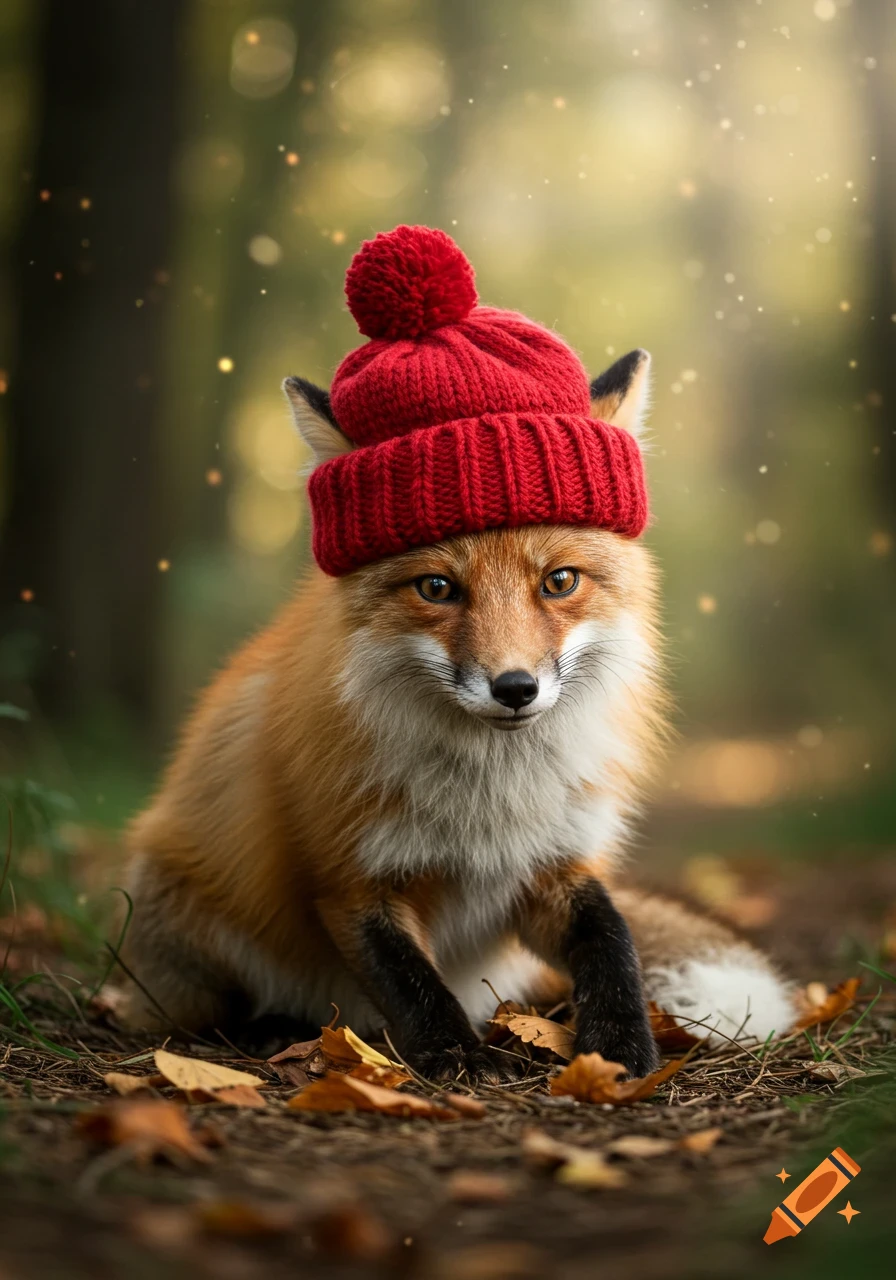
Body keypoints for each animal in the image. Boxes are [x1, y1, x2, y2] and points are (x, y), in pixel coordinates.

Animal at [122, 340, 794, 1082]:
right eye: (437, 588)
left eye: (560, 581)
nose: (515, 687)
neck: (492, 794)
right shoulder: (350, 880)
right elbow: (414, 985)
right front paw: (454, 1059)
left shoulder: (552, 865)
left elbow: (614, 943)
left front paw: (620, 1047)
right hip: (176, 903)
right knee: (210, 1009)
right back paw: (273, 1028)